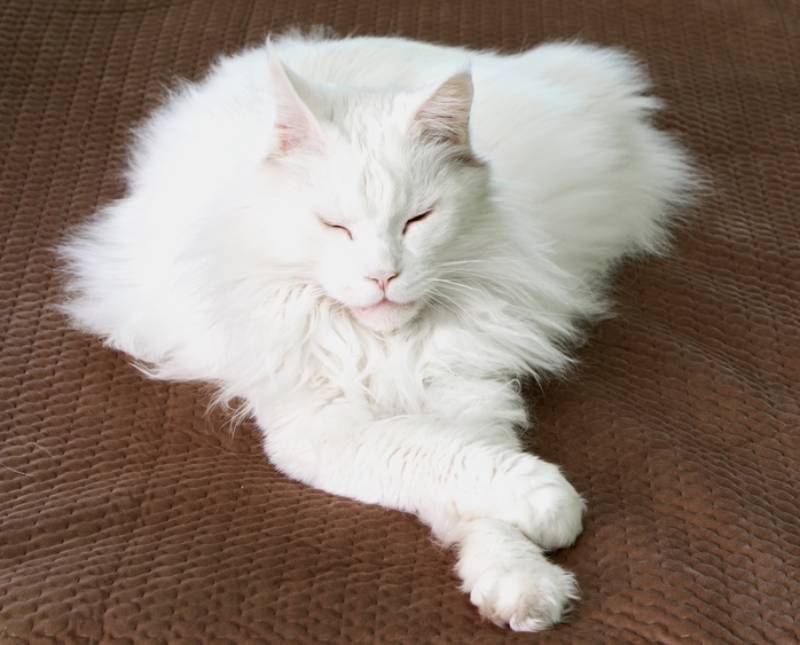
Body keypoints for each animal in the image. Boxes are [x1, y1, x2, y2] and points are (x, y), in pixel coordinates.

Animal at [59, 30, 692, 628]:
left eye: (417, 220)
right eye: (335, 227)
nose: (383, 274)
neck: (385, 347)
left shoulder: (465, 394)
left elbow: (473, 476)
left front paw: (522, 583)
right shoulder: (320, 424)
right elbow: (441, 460)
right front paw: (549, 509)